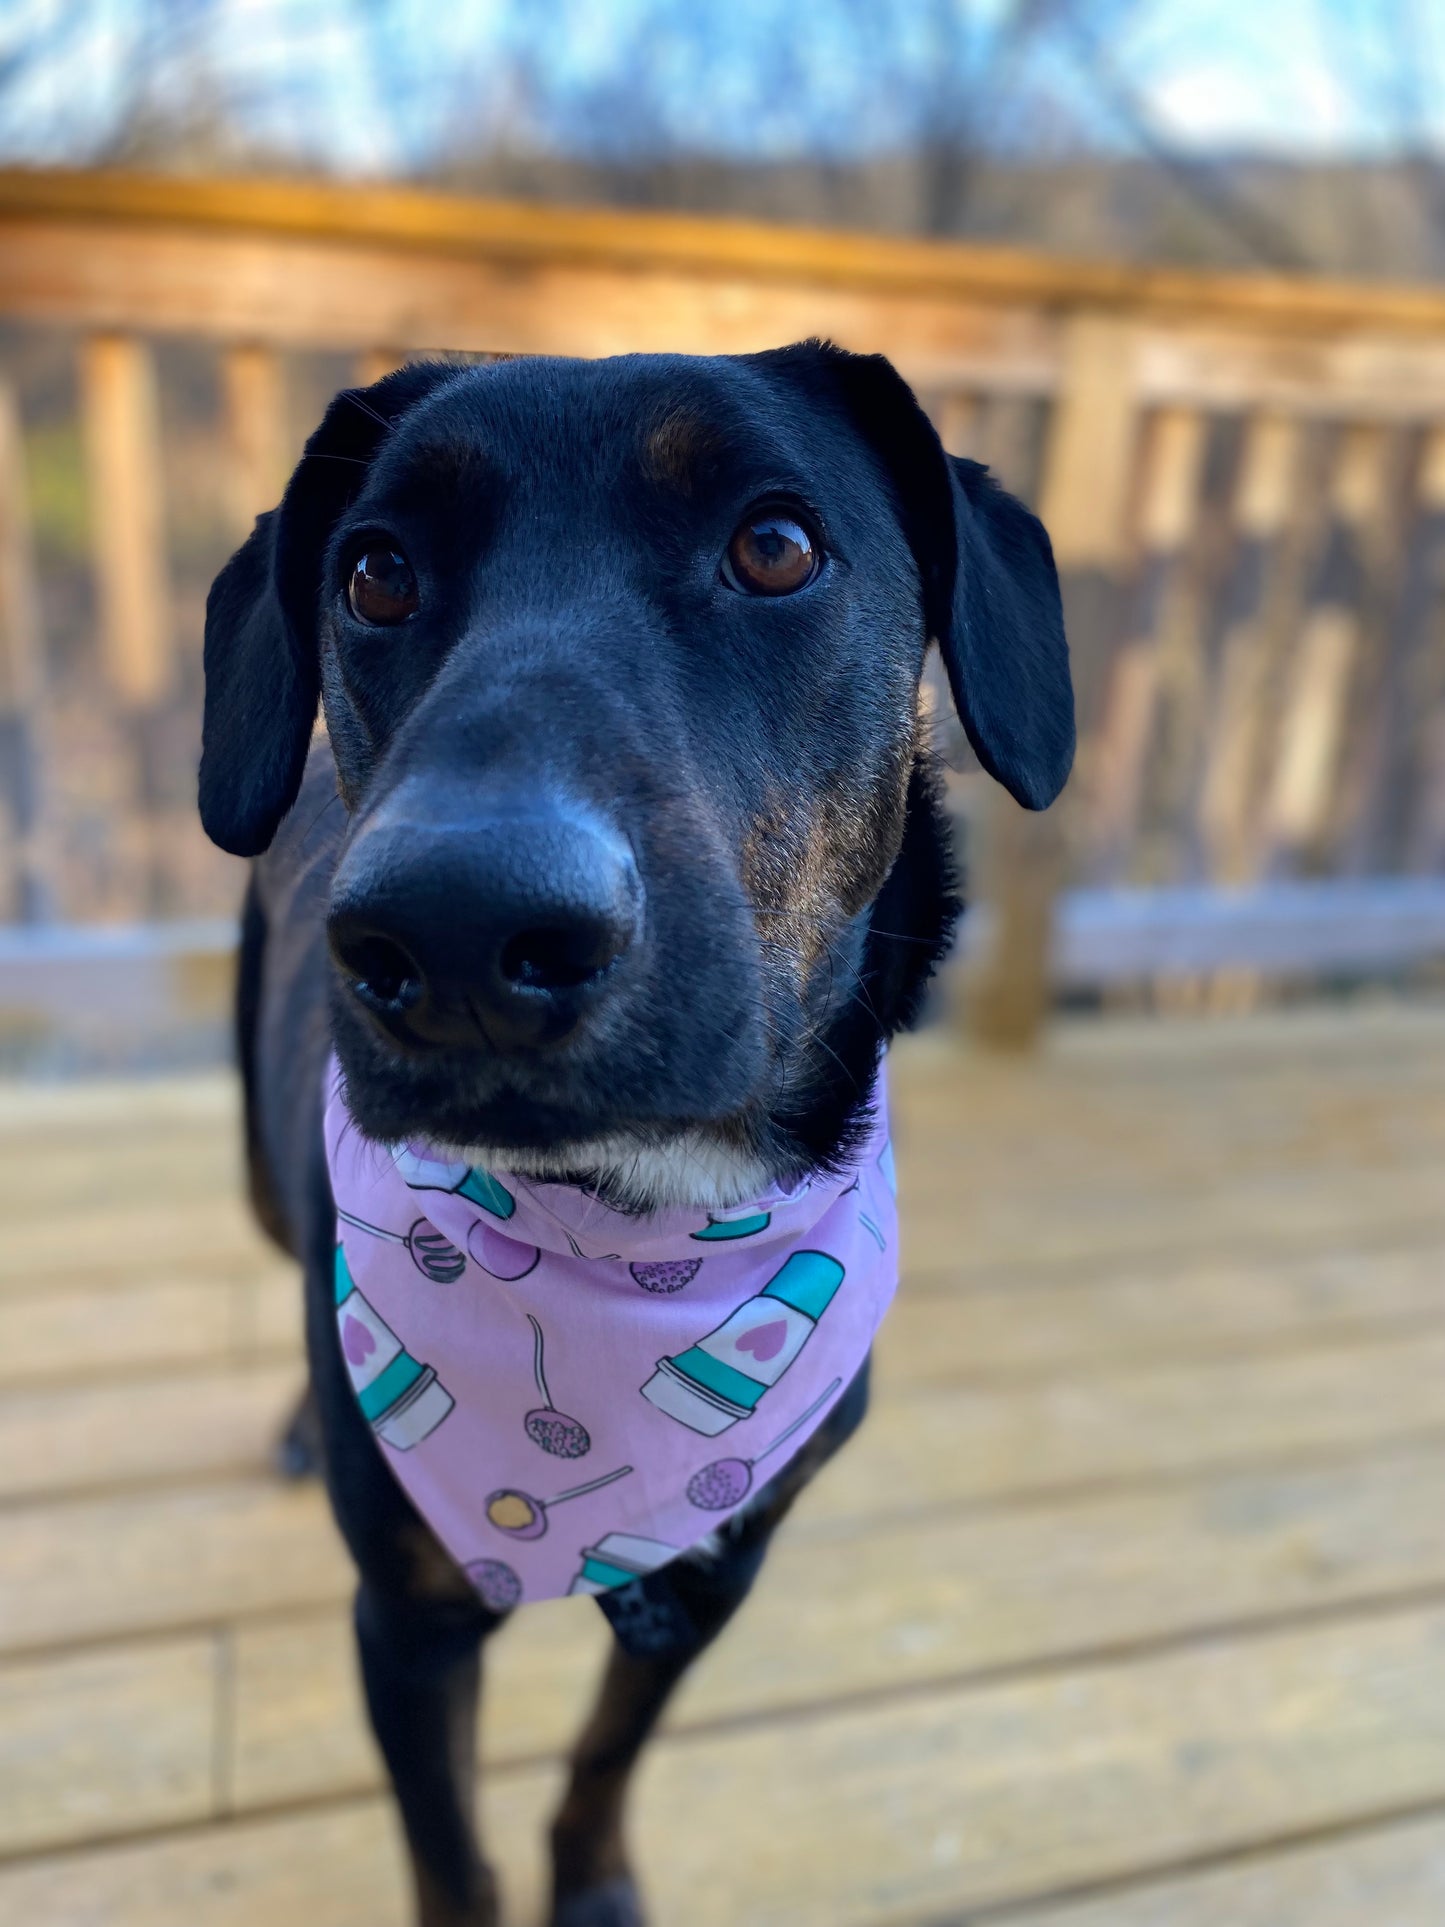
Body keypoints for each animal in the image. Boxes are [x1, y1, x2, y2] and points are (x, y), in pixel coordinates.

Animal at [198, 346, 1071, 1927]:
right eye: (374, 572)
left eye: (775, 545)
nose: (456, 929)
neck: (629, 1225)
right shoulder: (405, 1622)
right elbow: (449, 1852)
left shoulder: (715, 1569)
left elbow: (607, 1750)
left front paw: (594, 1880)